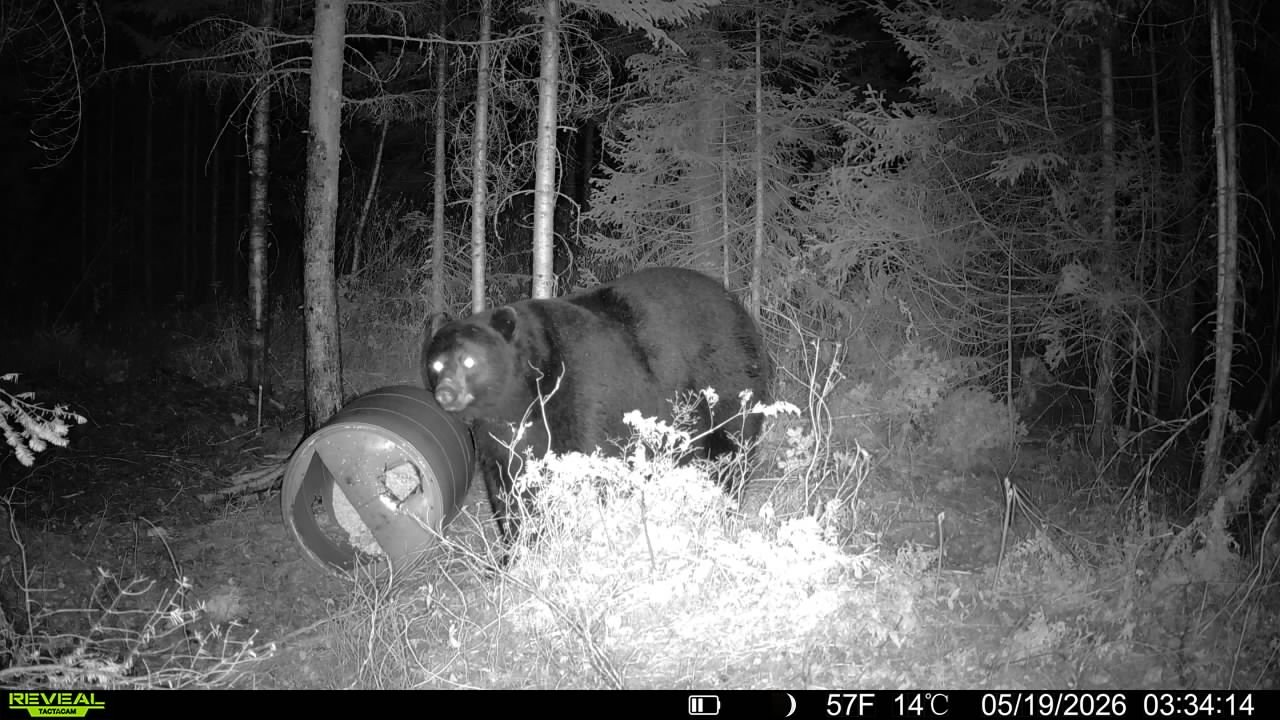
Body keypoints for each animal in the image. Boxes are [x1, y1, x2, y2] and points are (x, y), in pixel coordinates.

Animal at [420, 266, 771, 546]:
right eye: (436, 364)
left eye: (469, 361)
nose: (446, 393)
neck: (523, 396)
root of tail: (735, 303)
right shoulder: (498, 432)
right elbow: (508, 482)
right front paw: (520, 548)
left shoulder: (580, 393)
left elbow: (590, 466)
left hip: (725, 376)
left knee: (731, 447)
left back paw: (723, 504)